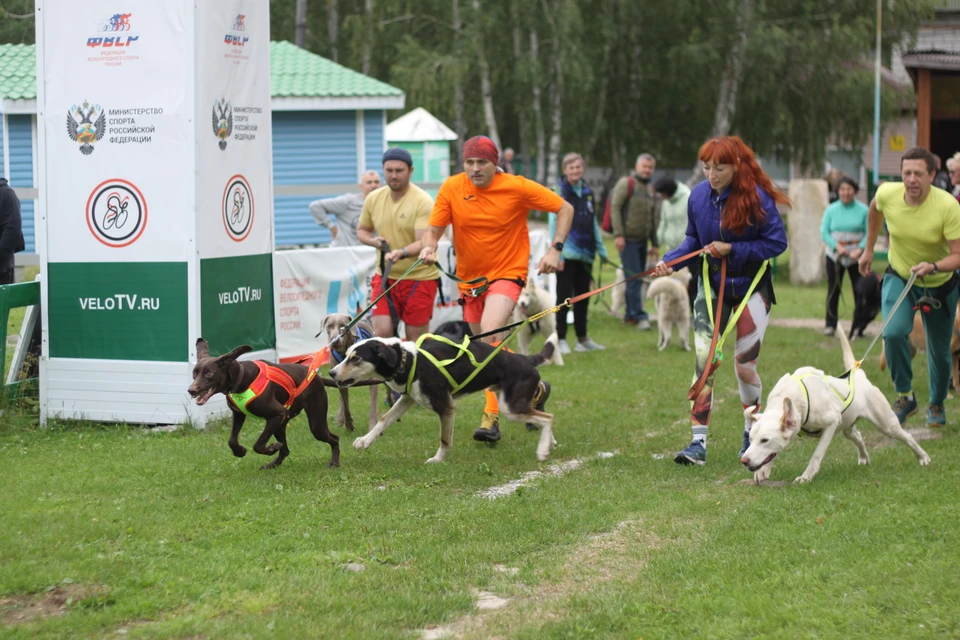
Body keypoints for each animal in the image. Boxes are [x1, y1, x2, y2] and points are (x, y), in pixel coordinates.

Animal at [187, 340, 338, 470]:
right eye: (194, 373)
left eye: (209, 374)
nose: (191, 390)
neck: (242, 378)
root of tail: (317, 377)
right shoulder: (239, 414)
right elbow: (232, 440)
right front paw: (240, 451)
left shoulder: (278, 413)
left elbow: (258, 445)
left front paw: (271, 448)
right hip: (281, 425)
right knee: (285, 450)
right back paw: (272, 465)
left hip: (315, 425)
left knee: (334, 438)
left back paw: (334, 462)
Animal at [330, 332, 560, 462]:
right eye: (346, 355)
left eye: (356, 359)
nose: (332, 373)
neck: (409, 360)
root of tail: (527, 359)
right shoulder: (408, 399)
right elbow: (383, 420)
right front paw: (365, 441)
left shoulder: (445, 407)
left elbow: (444, 439)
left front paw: (437, 459)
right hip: (508, 401)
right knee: (540, 416)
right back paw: (550, 443)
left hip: (510, 407)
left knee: (548, 418)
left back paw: (542, 451)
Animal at [736, 322, 928, 482]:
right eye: (750, 439)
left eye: (765, 440)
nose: (744, 460)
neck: (792, 397)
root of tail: (858, 375)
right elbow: (773, 453)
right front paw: (764, 470)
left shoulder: (831, 423)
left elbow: (817, 454)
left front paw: (806, 477)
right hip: (848, 427)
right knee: (858, 436)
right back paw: (864, 457)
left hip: (886, 424)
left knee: (907, 436)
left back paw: (923, 458)